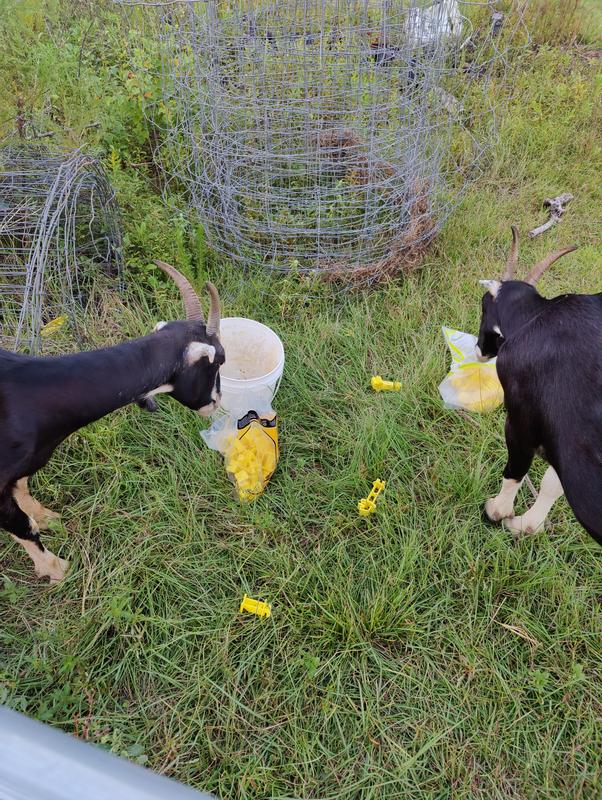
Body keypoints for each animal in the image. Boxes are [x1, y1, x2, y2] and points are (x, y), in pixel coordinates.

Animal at [0, 263, 225, 582]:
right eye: (219, 361)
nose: (216, 401)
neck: (30, 390)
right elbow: (23, 526)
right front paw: (57, 570)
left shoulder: (22, 465)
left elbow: (23, 491)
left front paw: (47, 519)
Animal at [476, 226, 602, 544]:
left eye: (483, 304)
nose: (480, 349)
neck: (539, 317)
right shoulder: (564, 444)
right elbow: (552, 483)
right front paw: (527, 526)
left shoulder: (520, 422)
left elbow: (515, 470)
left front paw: (497, 512)